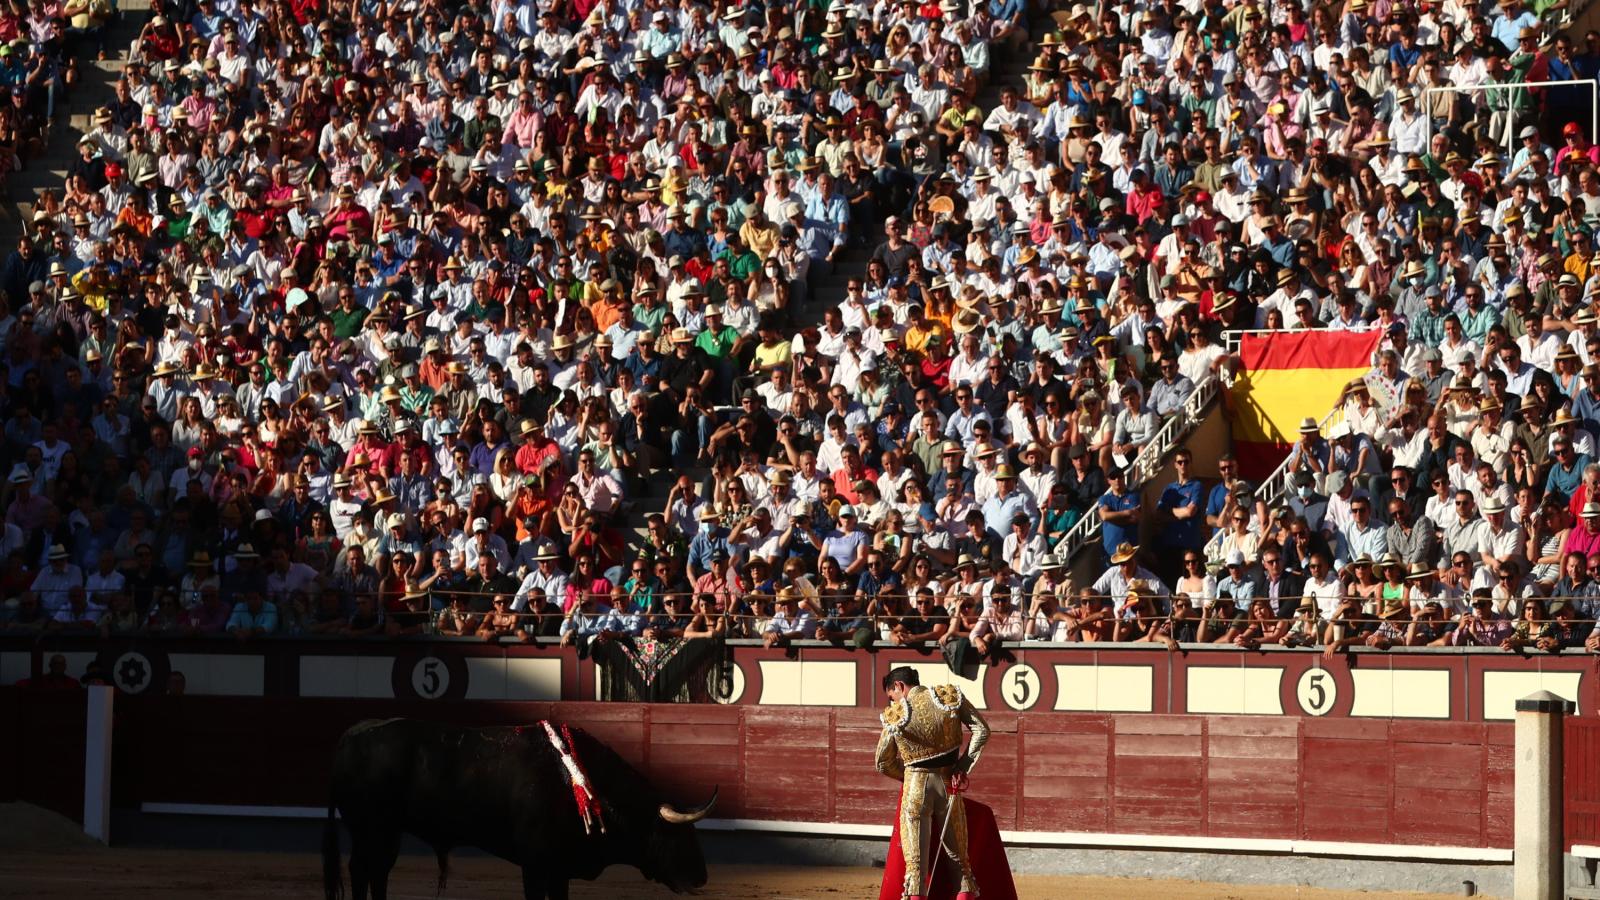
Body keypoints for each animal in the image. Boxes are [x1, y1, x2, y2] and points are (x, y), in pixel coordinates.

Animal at [321, 717, 716, 896]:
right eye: (679, 837)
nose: (702, 876)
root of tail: (348, 736)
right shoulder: (537, 864)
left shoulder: (559, 869)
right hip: (370, 828)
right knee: (362, 870)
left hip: (385, 832)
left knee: (377, 871)